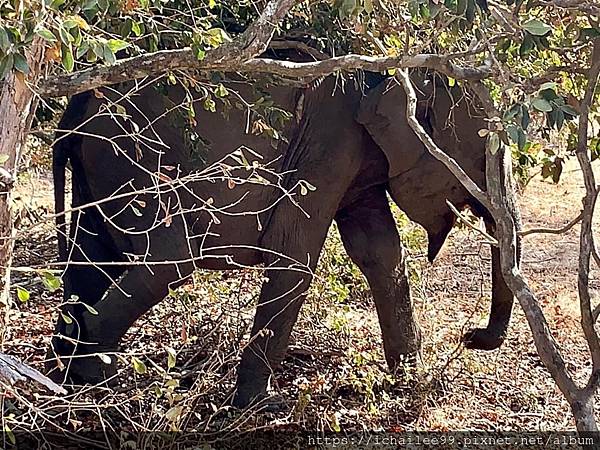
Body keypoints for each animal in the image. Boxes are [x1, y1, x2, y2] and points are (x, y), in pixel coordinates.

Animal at [47, 67, 516, 408]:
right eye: (481, 158)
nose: (471, 336)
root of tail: (73, 110)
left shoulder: (356, 162)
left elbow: (379, 252)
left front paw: (409, 380)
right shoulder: (330, 144)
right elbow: (294, 251)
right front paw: (261, 405)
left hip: (100, 171)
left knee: (91, 260)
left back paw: (65, 377)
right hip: (133, 162)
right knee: (170, 261)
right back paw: (97, 376)